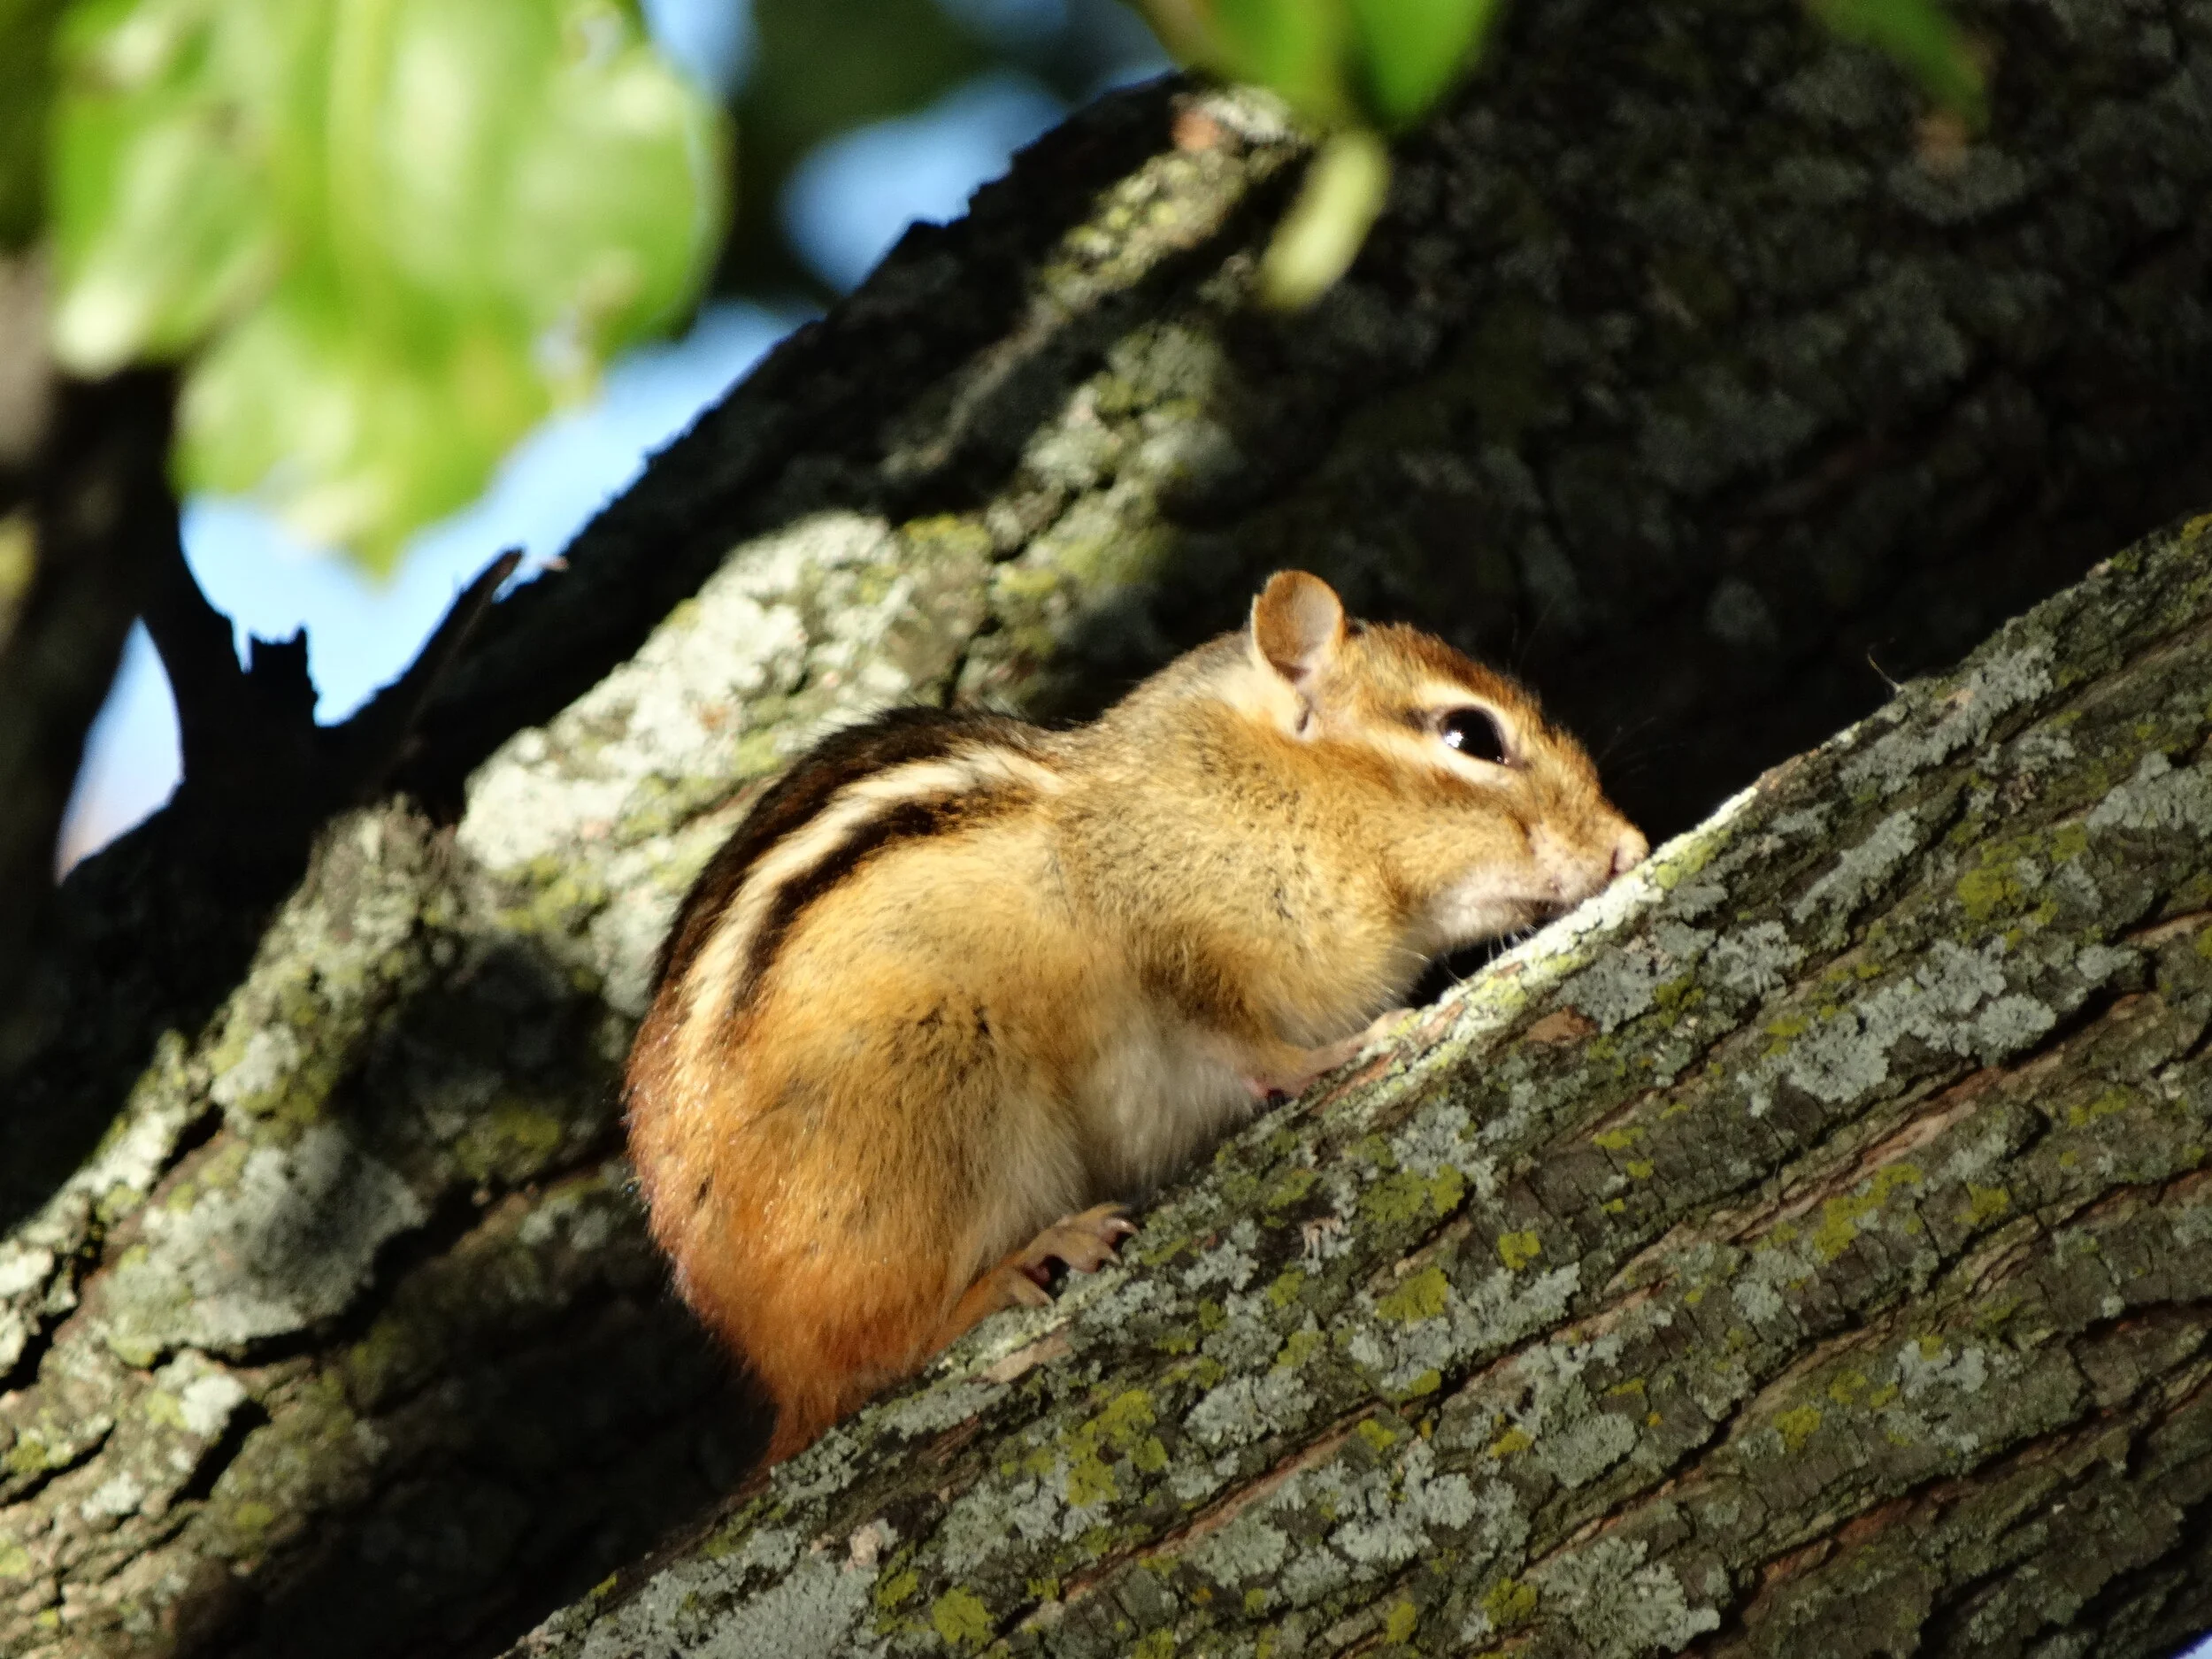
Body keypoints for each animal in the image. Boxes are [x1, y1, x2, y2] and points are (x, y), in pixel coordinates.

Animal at [625, 571, 1647, 1461]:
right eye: (1470, 735)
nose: (1630, 845)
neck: (1255, 793)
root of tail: (772, 1347)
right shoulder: (1175, 952)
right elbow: (1246, 1041)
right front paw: (1341, 1053)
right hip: (940, 1087)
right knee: (884, 1350)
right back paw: (1020, 1264)